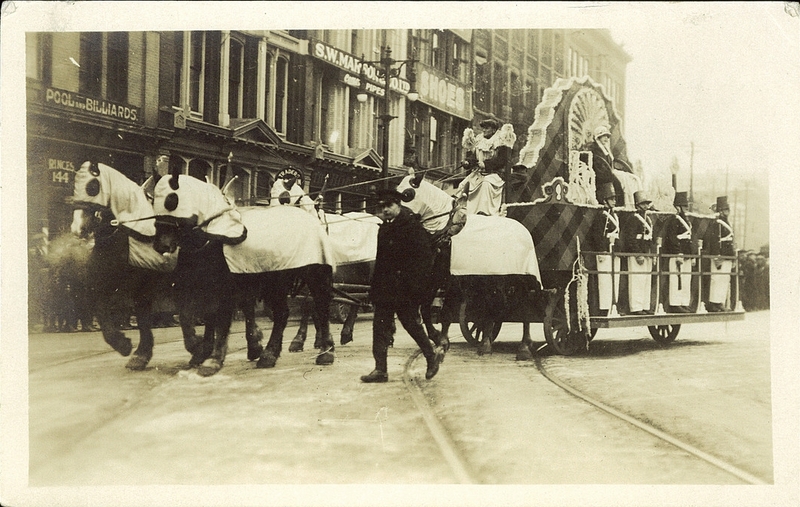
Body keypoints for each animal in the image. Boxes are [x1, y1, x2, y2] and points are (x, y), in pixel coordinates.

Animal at [152, 172, 336, 378]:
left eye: (173, 201)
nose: (161, 245)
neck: (212, 236)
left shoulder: (227, 288)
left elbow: (221, 320)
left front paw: (213, 359)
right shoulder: (198, 286)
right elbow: (190, 317)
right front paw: (200, 350)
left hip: (315, 274)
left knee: (321, 306)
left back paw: (325, 352)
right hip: (276, 281)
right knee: (282, 313)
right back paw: (269, 355)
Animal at [396, 172, 544, 362]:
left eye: (407, 194)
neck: (445, 230)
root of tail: (524, 230)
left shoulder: (448, 278)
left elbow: (443, 309)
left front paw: (441, 340)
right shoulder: (434, 277)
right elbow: (427, 307)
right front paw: (438, 338)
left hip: (522, 277)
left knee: (525, 306)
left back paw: (524, 347)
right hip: (495, 279)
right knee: (493, 305)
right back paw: (486, 344)